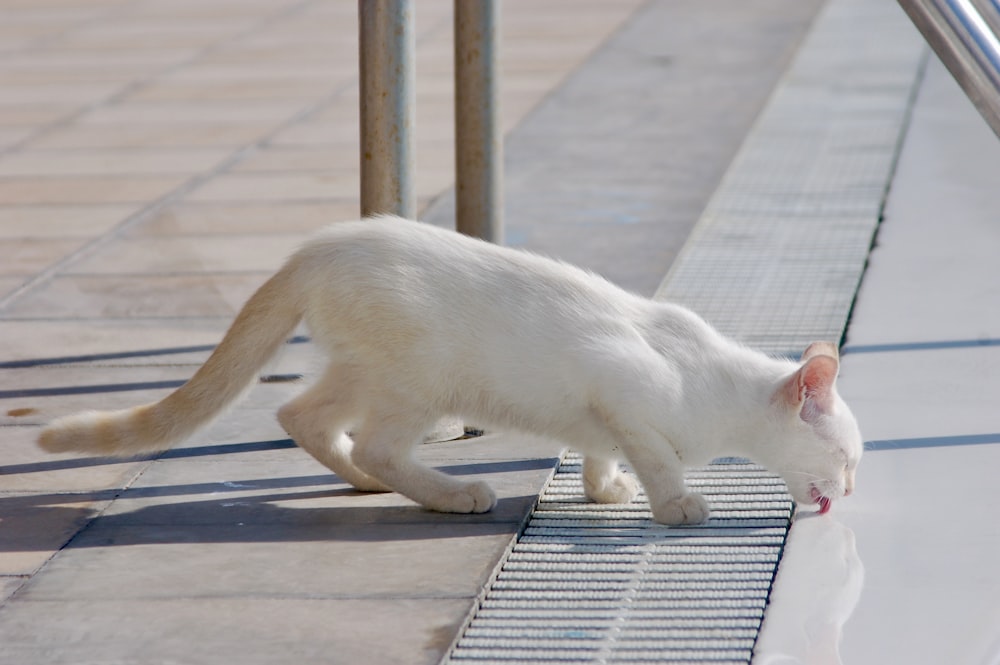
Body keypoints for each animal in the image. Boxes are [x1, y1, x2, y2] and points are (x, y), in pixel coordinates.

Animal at [39, 218, 864, 524]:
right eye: (849, 457)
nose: (854, 489)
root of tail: (322, 243)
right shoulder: (621, 385)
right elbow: (656, 455)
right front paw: (675, 504)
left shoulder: (602, 409)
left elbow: (599, 447)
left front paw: (604, 488)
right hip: (418, 381)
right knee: (375, 441)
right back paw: (449, 491)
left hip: (367, 371)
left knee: (301, 416)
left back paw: (363, 478)